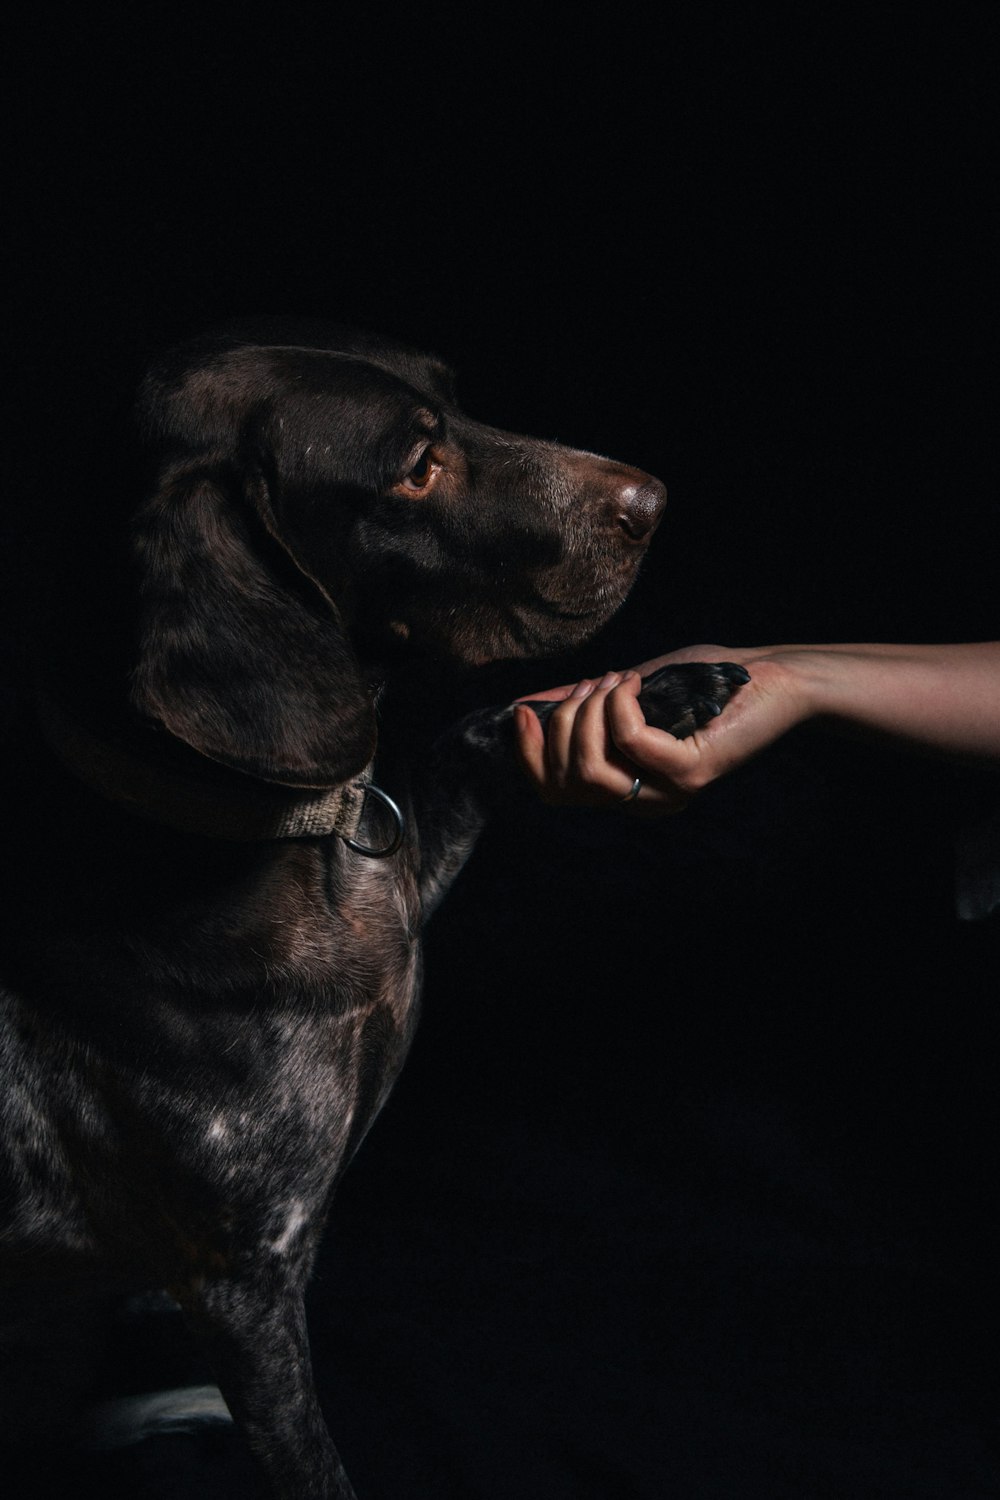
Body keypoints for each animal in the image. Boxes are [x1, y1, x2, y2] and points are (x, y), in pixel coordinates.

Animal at [0, 322, 746, 1494]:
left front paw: (647, 696)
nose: (656, 500)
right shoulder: (242, 1287)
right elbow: (312, 1465)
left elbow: (481, 728)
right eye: (417, 469)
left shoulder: (408, 866)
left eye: (456, 397)